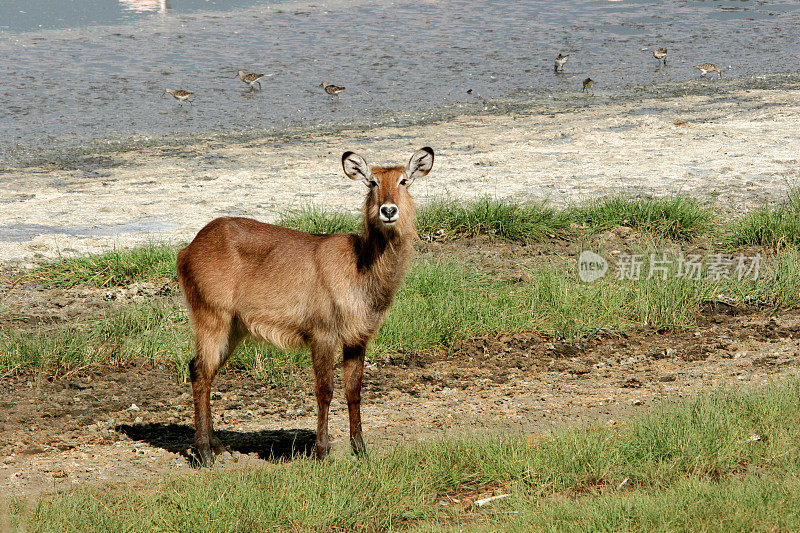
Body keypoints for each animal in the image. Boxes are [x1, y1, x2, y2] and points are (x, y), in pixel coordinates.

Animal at [177, 147, 434, 466]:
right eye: (372, 182)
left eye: (403, 181)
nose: (388, 210)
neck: (360, 268)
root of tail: (188, 248)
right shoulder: (322, 334)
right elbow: (325, 391)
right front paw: (322, 451)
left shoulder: (357, 338)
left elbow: (354, 390)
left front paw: (361, 449)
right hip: (212, 316)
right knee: (200, 371)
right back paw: (204, 454)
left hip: (233, 328)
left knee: (203, 370)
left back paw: (218, 446)